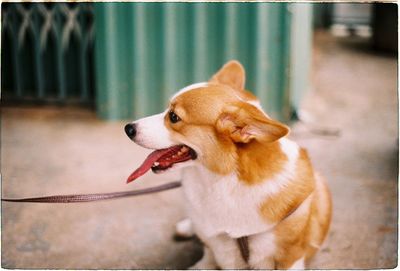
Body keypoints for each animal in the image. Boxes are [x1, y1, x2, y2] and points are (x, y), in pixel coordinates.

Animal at [124, 60, 332, 270]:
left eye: (174, 117)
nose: (128, 128)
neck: (221, 179)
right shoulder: (211, 241)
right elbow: (207, 255)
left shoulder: (290, 259)